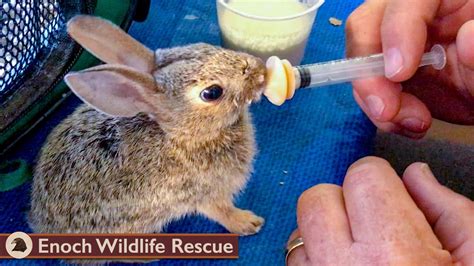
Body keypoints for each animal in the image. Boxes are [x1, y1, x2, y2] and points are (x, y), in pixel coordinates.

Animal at [28, 15, 266, 235]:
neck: (185, 137)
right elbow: (222, 212)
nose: (262, 71)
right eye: (212, 93)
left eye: (206, 46)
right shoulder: (203, 194)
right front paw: (249, 223)